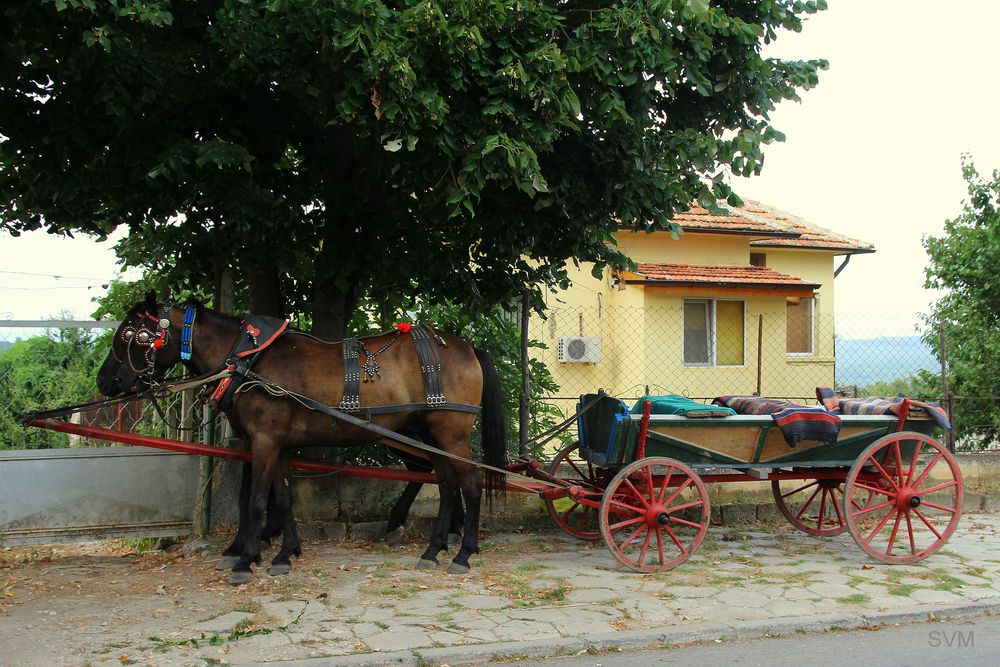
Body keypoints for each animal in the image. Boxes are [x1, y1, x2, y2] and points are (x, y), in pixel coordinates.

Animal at [96, 294, 504, 584]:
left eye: (131, 335)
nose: (105, 381)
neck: (249, 359)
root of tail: (466, 346)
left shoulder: (264, 441)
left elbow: (256, 501)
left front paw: (245, 560)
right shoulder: (275, 444)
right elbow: (282, 499)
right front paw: (283, 554)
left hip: (450, 432)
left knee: (469, 484)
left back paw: (463, 553)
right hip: (428, 434)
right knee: (446, 484)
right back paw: (432, 549)